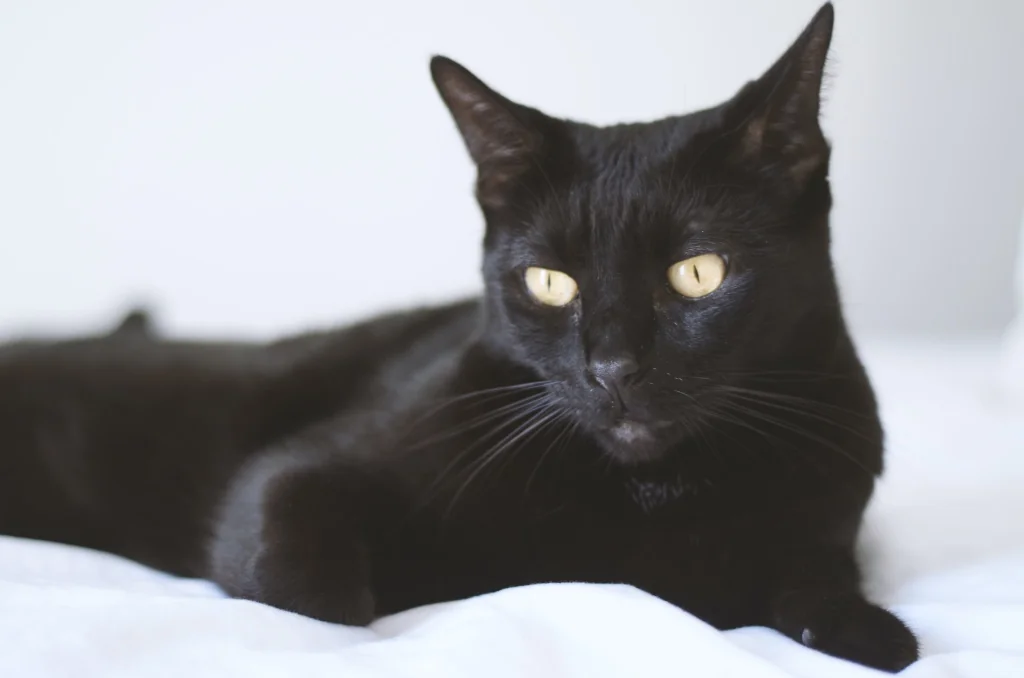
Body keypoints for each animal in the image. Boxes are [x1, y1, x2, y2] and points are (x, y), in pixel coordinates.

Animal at [0, 3, 921, 675]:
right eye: (550, 282)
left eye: (698, 272)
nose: (613, 369)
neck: (650, 495)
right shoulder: (291, 476)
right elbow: (315, 603)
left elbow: (812, 578)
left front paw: (865, 627)